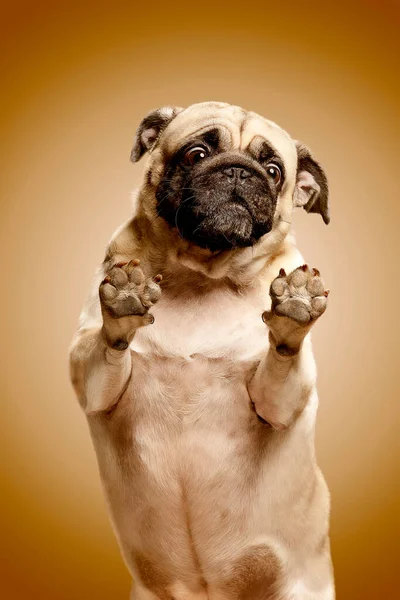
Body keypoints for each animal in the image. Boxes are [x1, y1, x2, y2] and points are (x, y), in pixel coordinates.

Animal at [69, 103, 334, 600]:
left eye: (274, 172)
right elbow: (108, 345)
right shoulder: (93, 385)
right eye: (197, 153)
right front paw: (124, 302)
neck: (202, 276)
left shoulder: (280, 402)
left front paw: (294, 310)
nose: (239, 171)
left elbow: (281, 359)